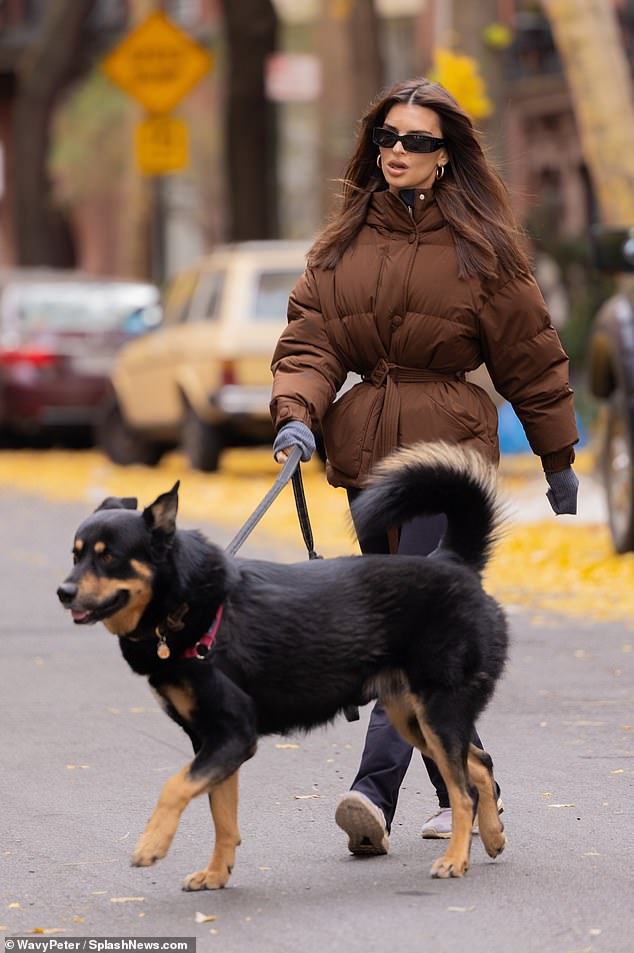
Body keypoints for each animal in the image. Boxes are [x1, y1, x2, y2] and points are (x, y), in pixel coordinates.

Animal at [56, 442, 506, 888]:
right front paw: (217, 874)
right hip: (412, 719)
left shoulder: (233, 735)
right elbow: (222, 817)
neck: (188, 607)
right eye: (76, 556)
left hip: (437, 712)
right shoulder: (214, 741)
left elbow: (174, 787)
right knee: (480, 765)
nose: (64, 592)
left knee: (463, 790)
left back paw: (455, 860)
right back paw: (493, 839)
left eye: (109, 557)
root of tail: (452, 560)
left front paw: (152, 845)